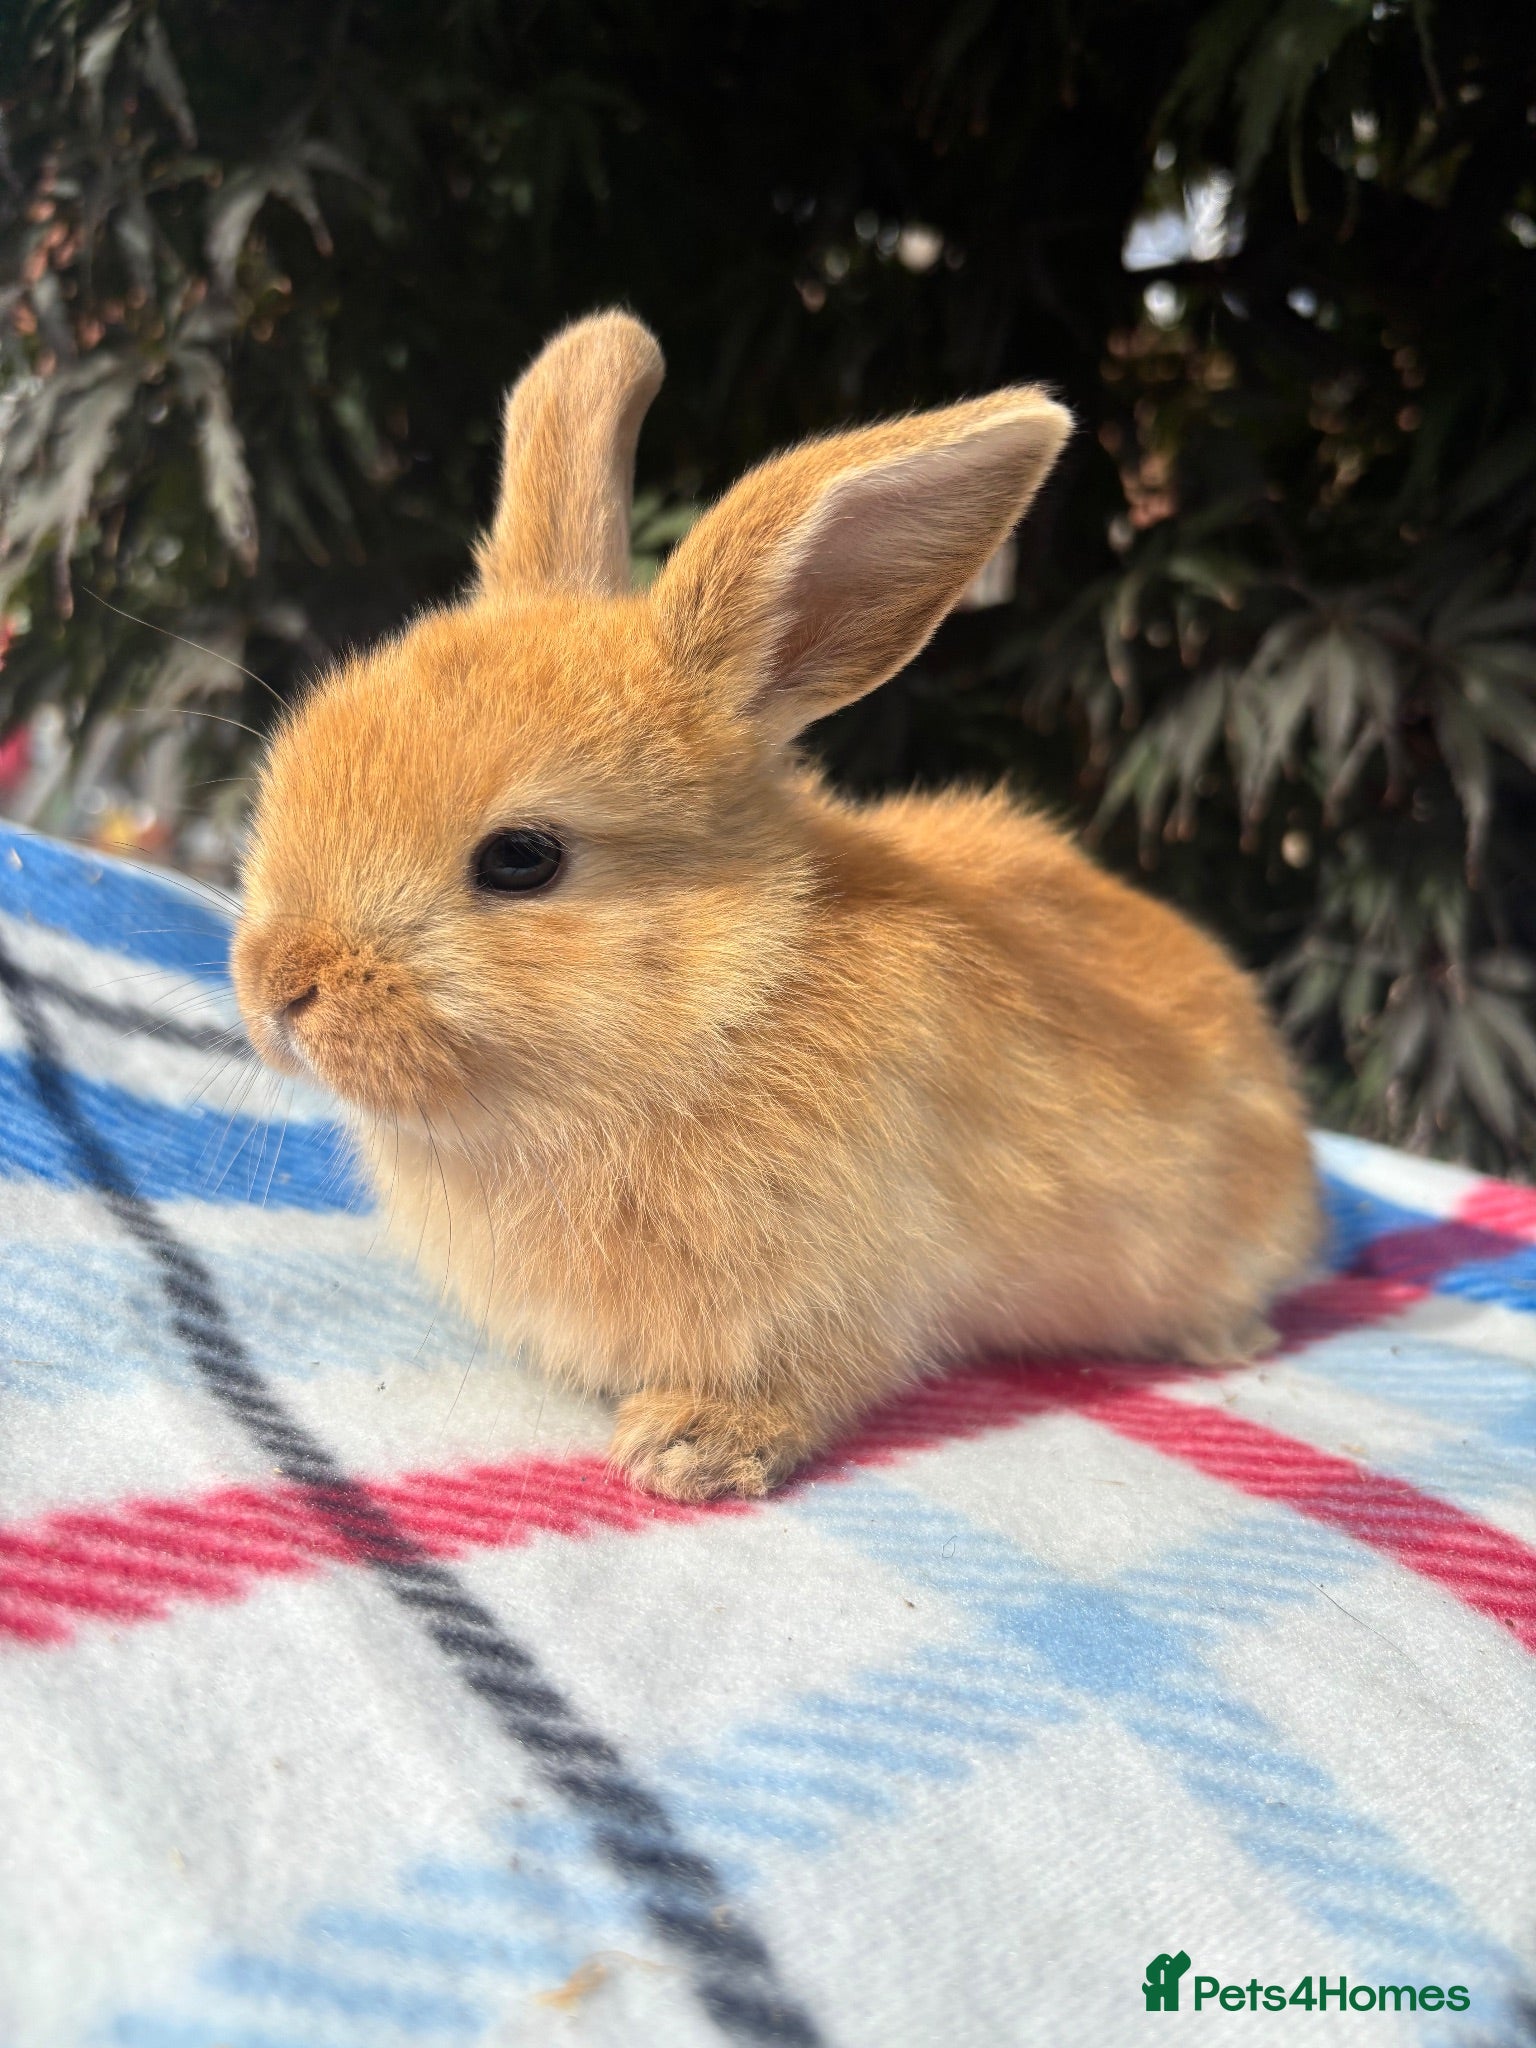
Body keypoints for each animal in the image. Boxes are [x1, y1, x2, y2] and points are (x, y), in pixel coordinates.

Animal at [232, 309, 1320, 1503]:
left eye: (522, 860)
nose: (277, 988)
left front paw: (687, 1449)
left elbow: (801, 1383)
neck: (730, 997)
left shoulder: (844, 1285)